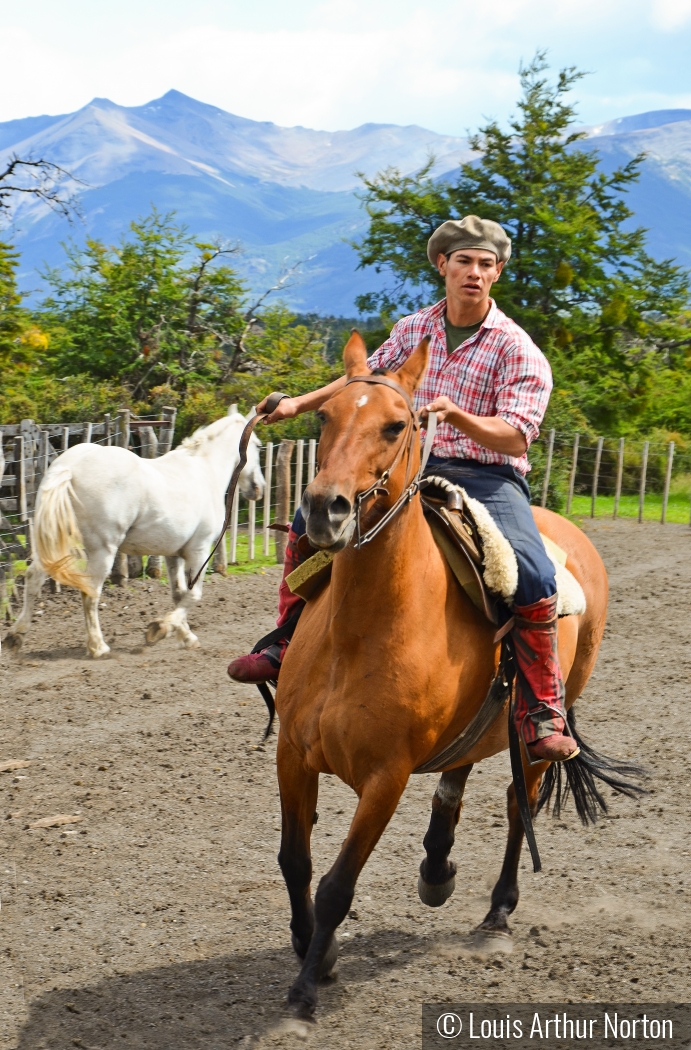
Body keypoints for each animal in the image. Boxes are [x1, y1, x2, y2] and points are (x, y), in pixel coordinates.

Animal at [4, 409, 262, 655]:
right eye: (258, 445)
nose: (259, 488)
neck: (204, 471)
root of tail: (70, 468)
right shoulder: (199, 550)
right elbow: (194, 594)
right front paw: (161, 628)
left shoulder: (174, 554)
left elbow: (179, 594)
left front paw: (184, 636)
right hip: (102, 550)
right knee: (90, 593)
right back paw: (98, 647)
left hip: (59, 543)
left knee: (34, 578)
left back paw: (15, 637)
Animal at [275, 333, 625, 1016]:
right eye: (324, 415)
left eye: (397, 424)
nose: (324, 509)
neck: (356, 635)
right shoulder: (293, 756)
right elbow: (295, 862)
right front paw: (311, 950)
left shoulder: (385, 778)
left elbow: (336, 884)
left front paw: (305, 987)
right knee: (458, 771)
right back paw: (437, 869)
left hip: (537, 735)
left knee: (521, 803)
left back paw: (498, 912)